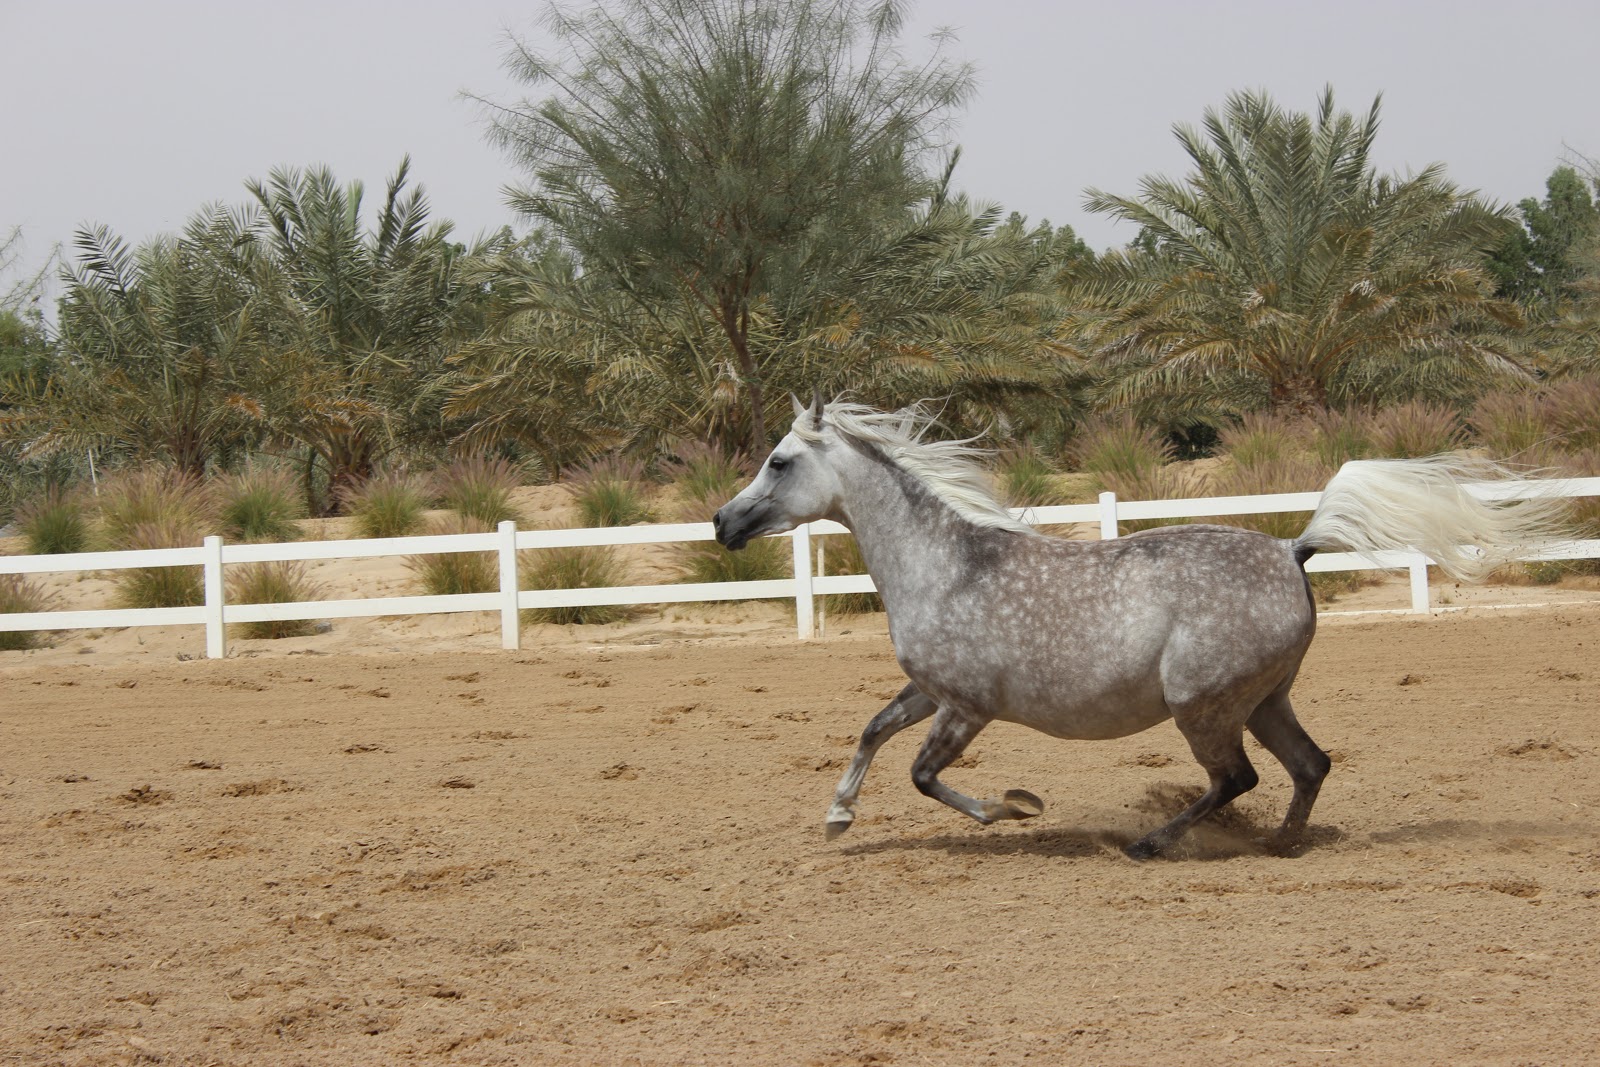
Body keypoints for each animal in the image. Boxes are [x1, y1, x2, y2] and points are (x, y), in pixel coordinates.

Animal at [713, 395, 1566, 859]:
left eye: (780, 460)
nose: (723, 522)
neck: (948, 563)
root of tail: (1291, 547)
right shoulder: (929, 690)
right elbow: (870, 732)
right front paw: (836, 816)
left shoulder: (966, 706)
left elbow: (923, 774)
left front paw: (1016, 807)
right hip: (1264, 699)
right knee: (1309, 765)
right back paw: (1279, 844)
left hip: (1203, 706)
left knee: (1239, 778)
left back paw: (1152, 842)